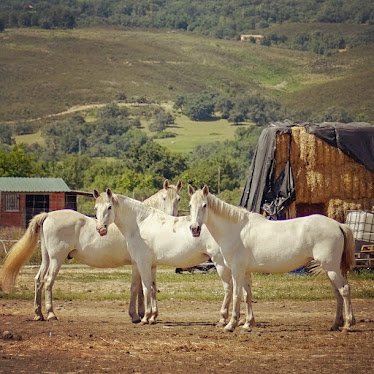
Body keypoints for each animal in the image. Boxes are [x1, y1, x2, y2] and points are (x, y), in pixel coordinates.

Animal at [0, 179, 181, 322]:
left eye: (178, 199)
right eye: (164, 198)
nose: (172, 217)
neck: (139, 222)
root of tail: (48, 215)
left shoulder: (149, 264)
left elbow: (150, 286)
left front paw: (148, 314)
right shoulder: (138, 264)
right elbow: (138, 288)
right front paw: (137, 315)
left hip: (46, 258)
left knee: (38, 280)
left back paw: (39, 314)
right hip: (56, 259)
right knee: (48, 281)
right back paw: (51, 314)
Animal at [93, 188, 250, 326]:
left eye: (109, 207)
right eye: (96, 208)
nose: (100, 229)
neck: (140, 223)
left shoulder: (142, 263)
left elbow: (145, 288)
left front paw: (145, 318)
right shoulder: (152, 265)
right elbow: (152, 288)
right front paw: (153, 317)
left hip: (221, 263)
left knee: (229, 288)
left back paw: (224, 319)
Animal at [188, 186, 356, 332]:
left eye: (204, 205)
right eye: (190, 205)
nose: (194, 228)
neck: (236, 230)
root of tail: (338, 225)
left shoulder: (237, 271)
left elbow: (236, 295)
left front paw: (231, 325)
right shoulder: (246, 272)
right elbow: (247, 296)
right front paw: (248, 324)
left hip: (331, 268)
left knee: (345, 290)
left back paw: (348, 324)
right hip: (331, 270)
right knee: (338, 292)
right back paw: (336, 324)